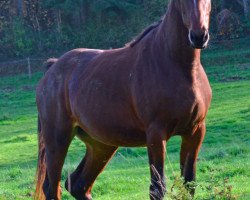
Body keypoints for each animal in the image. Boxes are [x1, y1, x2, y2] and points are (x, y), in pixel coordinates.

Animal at [34, 0, 211, 199]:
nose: (199, 36)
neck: (178, 66)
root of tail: (52, 67)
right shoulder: (156, 135)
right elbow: (157, 188)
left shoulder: (195, 131)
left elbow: (189, 184)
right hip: (57, 140)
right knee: (52, 188)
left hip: (101, 145)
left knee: (78, 185)